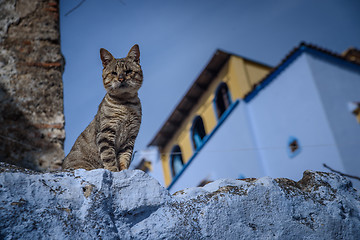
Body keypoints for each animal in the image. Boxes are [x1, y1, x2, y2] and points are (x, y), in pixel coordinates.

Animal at [62, 43, 142, 171]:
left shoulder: (130, 139)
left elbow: (124, 159)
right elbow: (109, 158)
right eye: (114, 73)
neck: (125, 104)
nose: (121, 78)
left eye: (128, 71)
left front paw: (124, 171)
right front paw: (114, 171)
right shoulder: (106, 133)